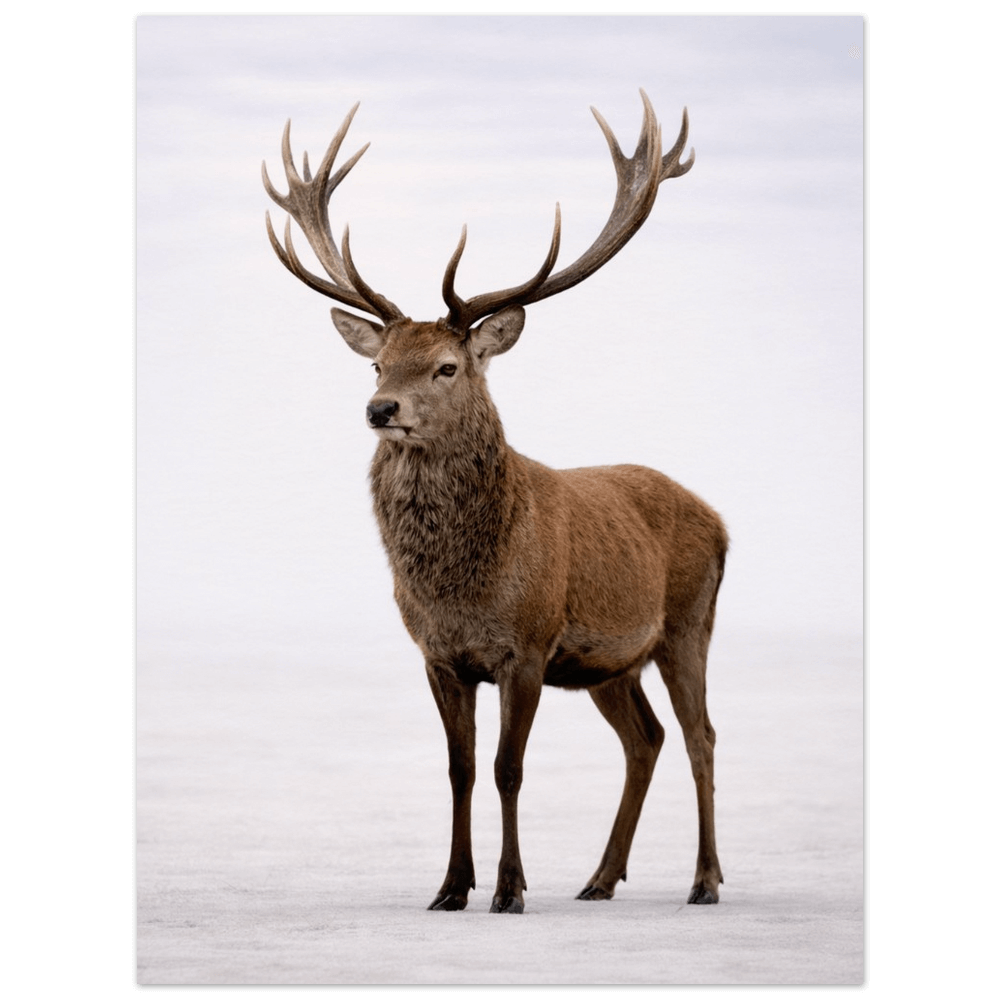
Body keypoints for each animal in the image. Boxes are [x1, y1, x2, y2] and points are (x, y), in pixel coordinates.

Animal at [263, 91, 727, 914]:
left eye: (447, 366)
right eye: (379, 363)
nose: (381, 409)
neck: (463, 585)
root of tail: (723, 521)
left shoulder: (530, 645)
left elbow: (511, 769)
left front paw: (510, 889)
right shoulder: (438, 655)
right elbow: (461, 770)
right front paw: (451, 887)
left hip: (688, 621)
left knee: (702, 735)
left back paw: (705, 879)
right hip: (612, 663)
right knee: (646, 738)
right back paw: (599, 878)